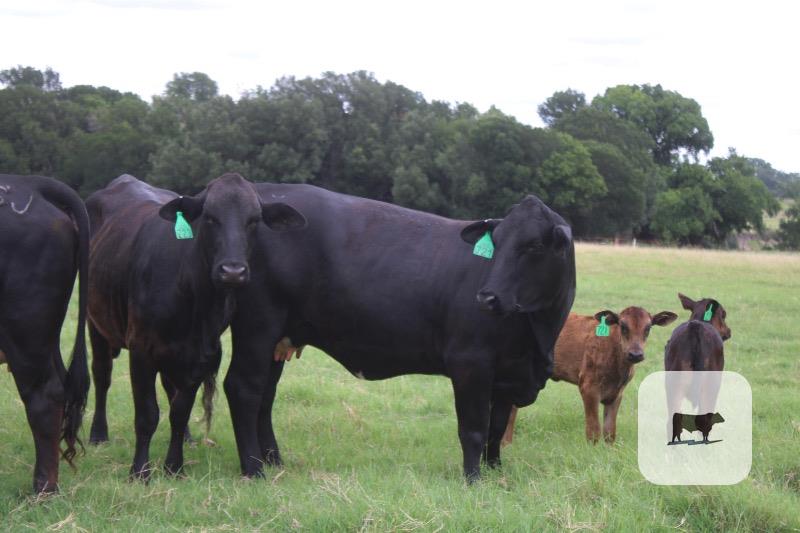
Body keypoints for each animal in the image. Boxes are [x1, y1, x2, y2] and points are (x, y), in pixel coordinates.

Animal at [85, 173, 305, 479]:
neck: (193, 299)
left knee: (169, 390)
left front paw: (174, 466)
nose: (233, 271)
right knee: (101, 375)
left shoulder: (201, 354)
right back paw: (98, 434)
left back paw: (188, 438)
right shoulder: (141, 348)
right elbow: (146, 415)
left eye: (253, 220)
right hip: (96, 321)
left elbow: (180, 411)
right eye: (210, 217)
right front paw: (140, 471)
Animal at [224, 187, 576, 481]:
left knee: (265, 395)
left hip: (277, 338)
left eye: (535, 245)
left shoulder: (506, 374)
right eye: (496, 244)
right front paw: (474, 479)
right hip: (258, 327)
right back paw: (254, 469)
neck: (537, 336)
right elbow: (474, 428)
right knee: (244, 389)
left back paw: (274, 461)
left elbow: (497, 429)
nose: (487, 297)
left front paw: (496, 472)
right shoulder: (470, 363)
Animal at [501, 306, 677, 445]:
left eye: (648, 328)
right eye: (623, 326)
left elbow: (609, 432)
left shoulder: (617, 394)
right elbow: (593, 431)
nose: (635, 354)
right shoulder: (588, 387)